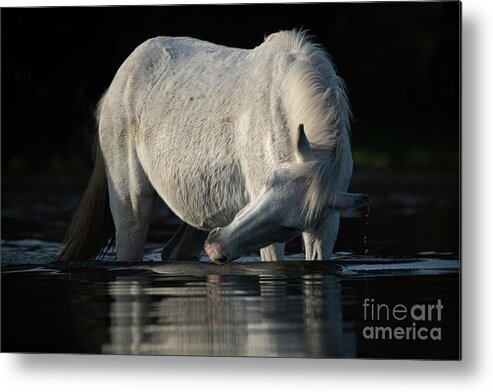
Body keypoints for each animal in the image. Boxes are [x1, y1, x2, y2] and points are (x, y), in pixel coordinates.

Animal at [56, 30, 366, 264]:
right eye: (268, 183)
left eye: (291, 226)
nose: (216, 245)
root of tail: (117, 84)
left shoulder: (326, 221)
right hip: (130, 204)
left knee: (174, 252)